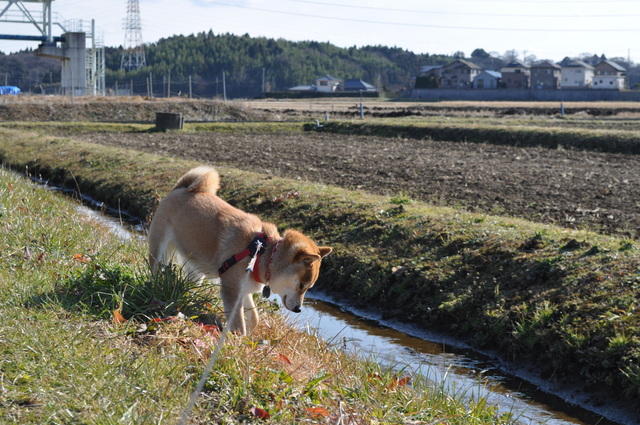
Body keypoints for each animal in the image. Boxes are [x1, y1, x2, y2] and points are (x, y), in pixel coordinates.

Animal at [148, 166, 332, 334]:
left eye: (307, 288)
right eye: (301, 285)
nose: (299, 309)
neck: (263, 253)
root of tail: (182, 188)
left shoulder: (244, 289)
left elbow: (254, 317)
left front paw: (249, 333)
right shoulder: (232, 289)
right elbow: (238, 324)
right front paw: (237, 340)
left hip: (194, 268)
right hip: (160, 251)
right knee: (155, 268)